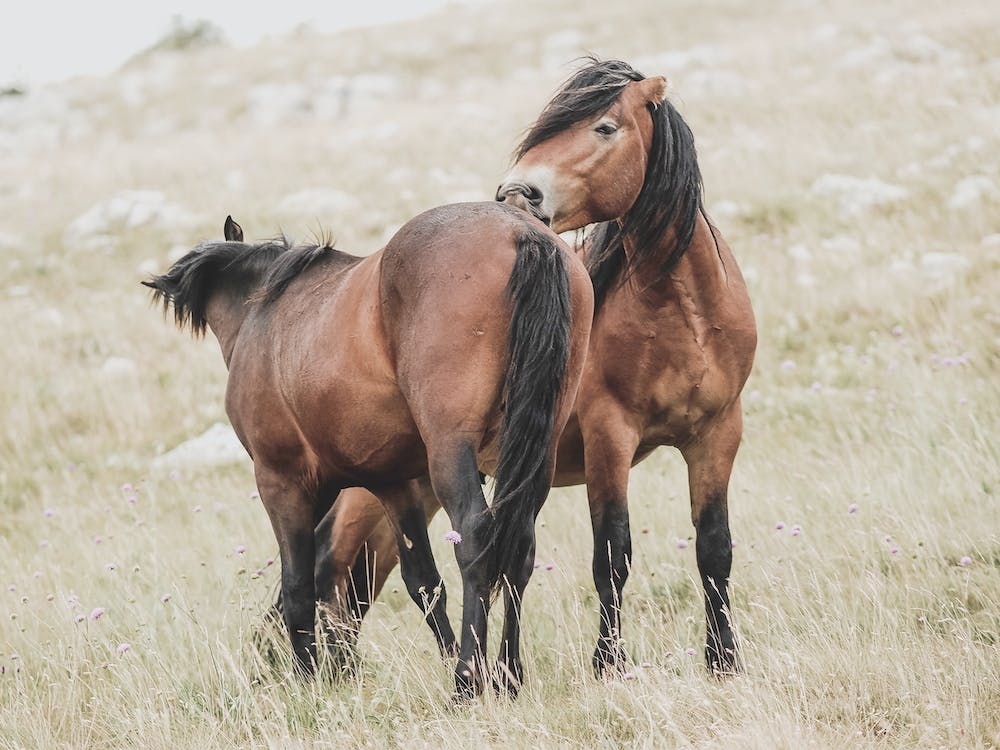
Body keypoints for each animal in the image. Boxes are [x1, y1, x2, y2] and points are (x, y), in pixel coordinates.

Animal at [144, 203, 593, 699]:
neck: (264, 312)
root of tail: (518, 231)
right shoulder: (393, 483)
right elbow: (423, 581)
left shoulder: (282, 482)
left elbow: (298, 584)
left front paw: (307, 679)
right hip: (535, 454)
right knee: (519, 549)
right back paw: (507, 673)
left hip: (450, 451)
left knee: (475, 541)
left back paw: (466, 681)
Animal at [302, 58, 757, 678]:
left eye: (605, 128)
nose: (517, 192)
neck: (686, 315)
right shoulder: (610, 437)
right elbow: (612, 554)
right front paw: (607, 664)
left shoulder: (717, 434)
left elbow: (714, 547)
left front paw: (722, 659)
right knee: (334, 558)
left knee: (363, 572)